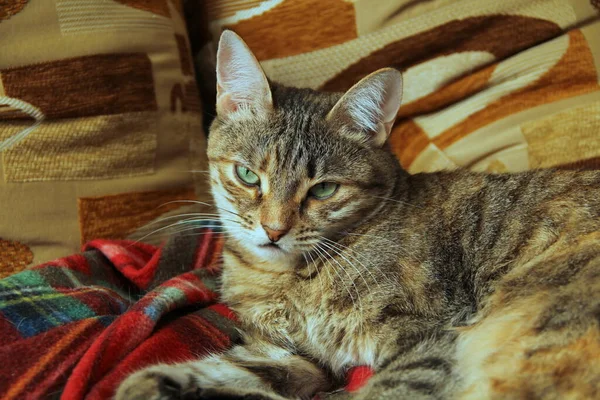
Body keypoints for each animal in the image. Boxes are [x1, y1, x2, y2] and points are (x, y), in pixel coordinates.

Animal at [116, 29, 600, 398]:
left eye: (324, 189)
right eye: (248, 175)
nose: (273, 230)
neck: (287, 278)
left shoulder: (431, 336)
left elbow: (391, 387)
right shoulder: (292, 356)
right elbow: (227, 370)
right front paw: (148, 384)